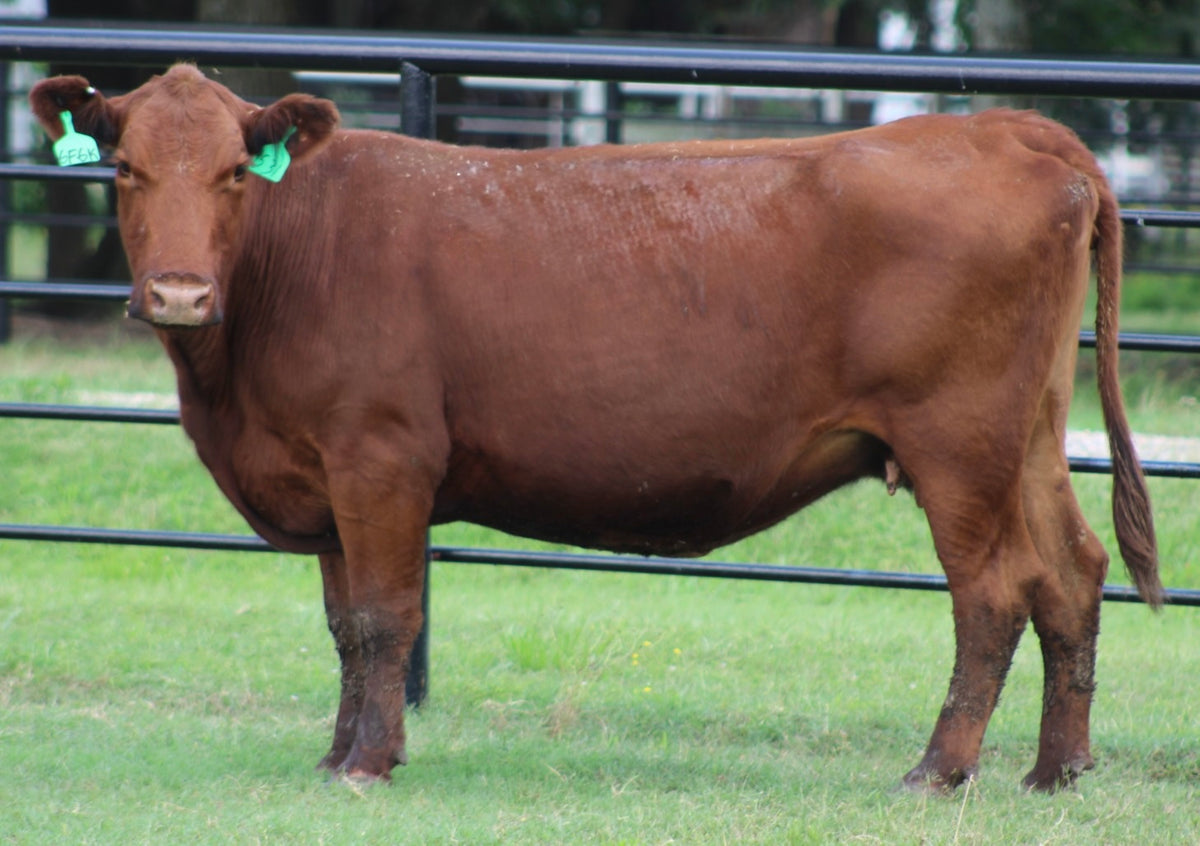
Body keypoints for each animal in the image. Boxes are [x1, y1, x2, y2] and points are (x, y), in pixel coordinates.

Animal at [32, 64, 1161, 793]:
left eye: (234, 172)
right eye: (125, 169)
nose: (179, 293)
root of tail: (1004, 127)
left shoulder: (380, 460)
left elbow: (389, 617)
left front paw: (368, 765)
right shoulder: (321, 477)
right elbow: (345, 623)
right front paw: (337, 752)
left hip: (957, 443)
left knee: (993, 594)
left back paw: (939, 770)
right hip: (1027, 437)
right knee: (1071, 571)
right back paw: (1057, 769)